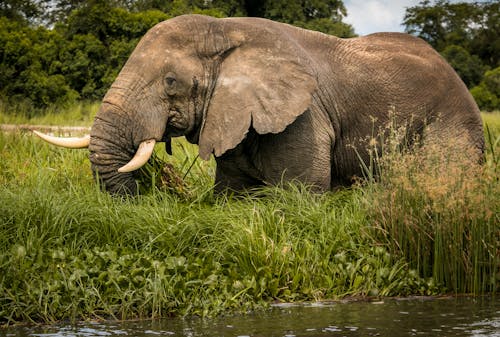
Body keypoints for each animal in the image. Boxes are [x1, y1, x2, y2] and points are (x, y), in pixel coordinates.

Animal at [36, 14, 484, 194]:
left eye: (170, 82)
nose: (144, 195)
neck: (224, 30)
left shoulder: (305, 118)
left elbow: (300, 195)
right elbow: (232, 194)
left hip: (450, 125)